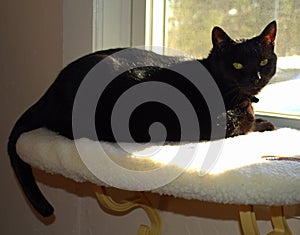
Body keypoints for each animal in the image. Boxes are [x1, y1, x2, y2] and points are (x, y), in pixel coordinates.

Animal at [7, 21, 276, 217]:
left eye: (263, 61)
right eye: (237, 65)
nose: (256, 77)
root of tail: (48, 93)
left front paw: (264, 121)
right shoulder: (217, 122)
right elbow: (244, 122)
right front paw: (260, 122)